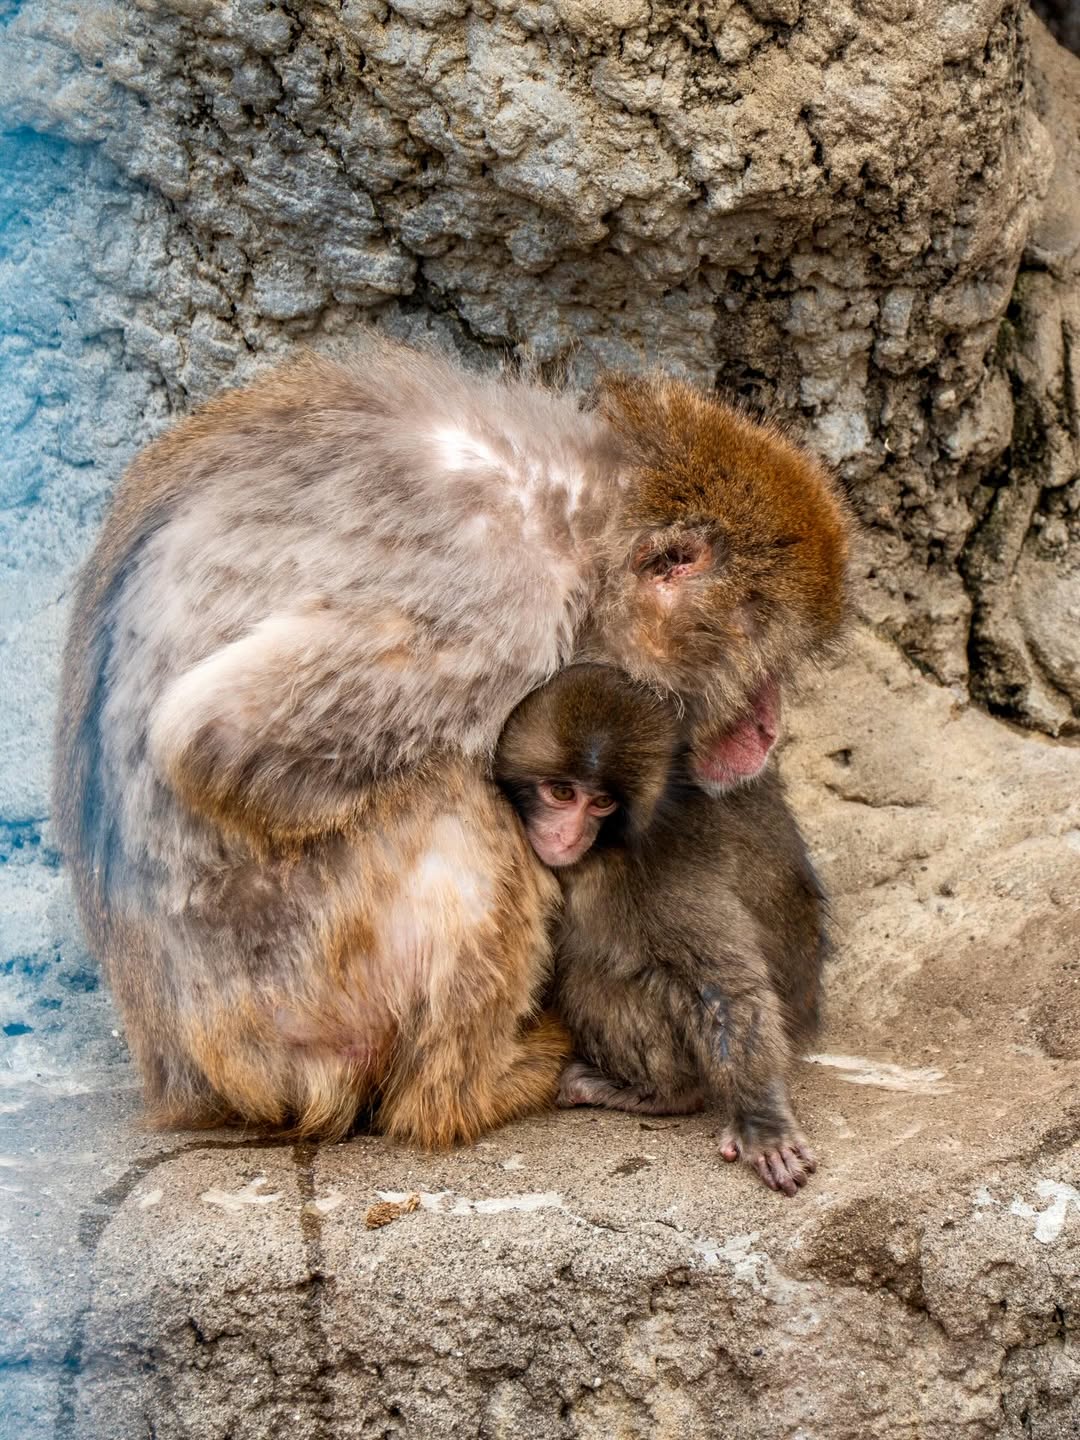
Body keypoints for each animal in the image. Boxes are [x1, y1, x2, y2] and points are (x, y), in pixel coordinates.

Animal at [495, 663, 825, 1197]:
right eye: (562, 793)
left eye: (602, 803)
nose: (566, 835)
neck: (605, 849)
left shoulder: (659, 874)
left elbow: (724, 988)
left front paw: (763, 1121)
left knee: (595, 974)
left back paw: (666, 1095)